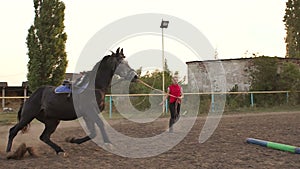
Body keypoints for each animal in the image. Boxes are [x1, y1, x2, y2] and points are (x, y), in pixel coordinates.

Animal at [6, 47, 138, 154]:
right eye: (120, 62)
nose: (135, 76)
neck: (94, 87)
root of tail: (31, 98)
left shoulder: (87, 115)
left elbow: (93, 133)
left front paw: (73, 140)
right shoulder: (90, 112)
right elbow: (100, 125)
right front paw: (109, 143)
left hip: (52, 121)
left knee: (44, 137)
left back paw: (59, 150)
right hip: (27, 116)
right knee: (13, 130)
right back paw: (9, 152)